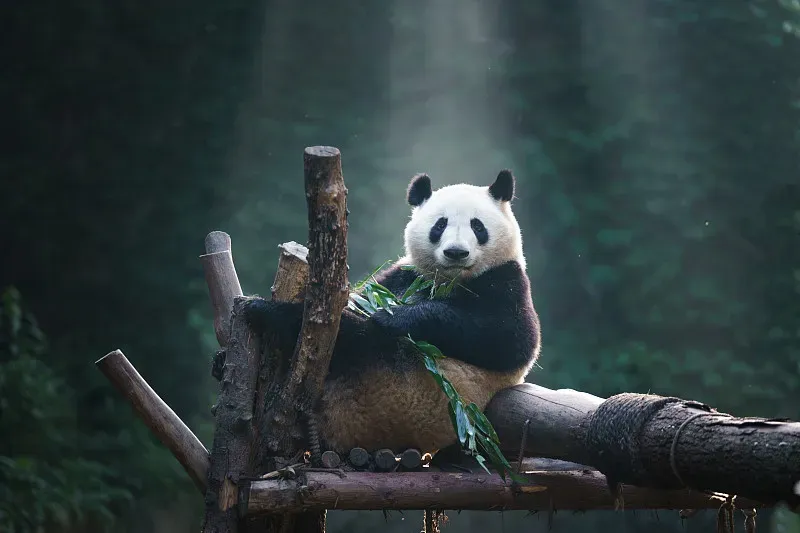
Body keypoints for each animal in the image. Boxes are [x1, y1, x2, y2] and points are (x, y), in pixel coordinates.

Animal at [244, 169, 541, 457]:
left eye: (477, 226)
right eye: (440, 225)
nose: (456, 252)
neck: (450, 280)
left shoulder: (507, 279)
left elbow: (509, 338)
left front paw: (392, 316)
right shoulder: (403, 275)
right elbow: (364, 294)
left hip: (394, 388)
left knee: (355, 337)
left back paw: (272, 313)